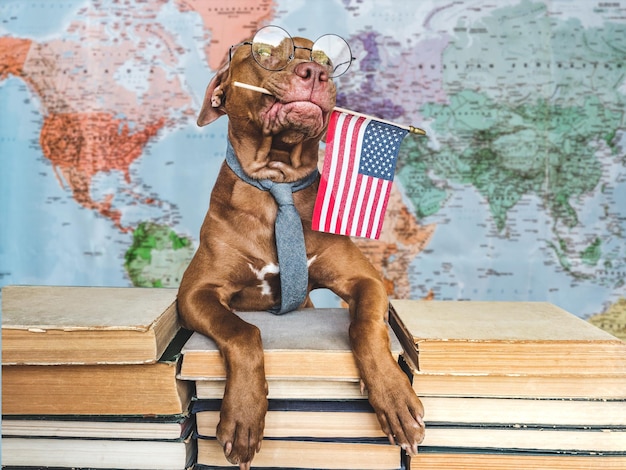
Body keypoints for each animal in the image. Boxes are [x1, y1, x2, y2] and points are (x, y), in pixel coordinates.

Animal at [176, 28, 424, 466]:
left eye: (327, 60)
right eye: (262, 51)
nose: (316, 73)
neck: (277, 180)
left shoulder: (366, 280)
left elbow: (365, 326)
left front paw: (394, 395)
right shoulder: (195, 292)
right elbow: (243, 331)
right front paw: (243, 415)